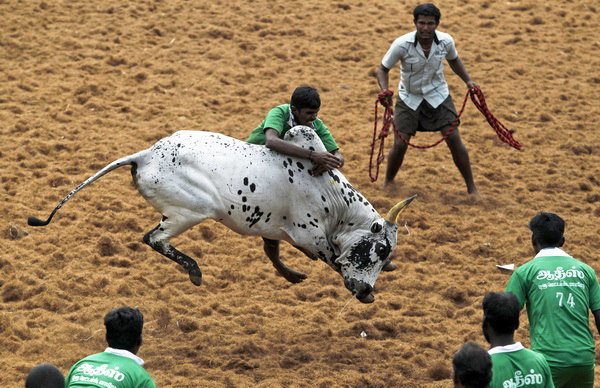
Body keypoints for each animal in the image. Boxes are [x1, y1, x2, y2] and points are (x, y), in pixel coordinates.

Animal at [29, 127, 418, 304]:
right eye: (379, 249)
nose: (364, 288)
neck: (331, 194)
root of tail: (146, 155)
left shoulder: (277, 229)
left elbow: (276, 251)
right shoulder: (309, 234)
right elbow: (331, 258)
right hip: (191, 211)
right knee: (153, 238)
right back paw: (195, 271)